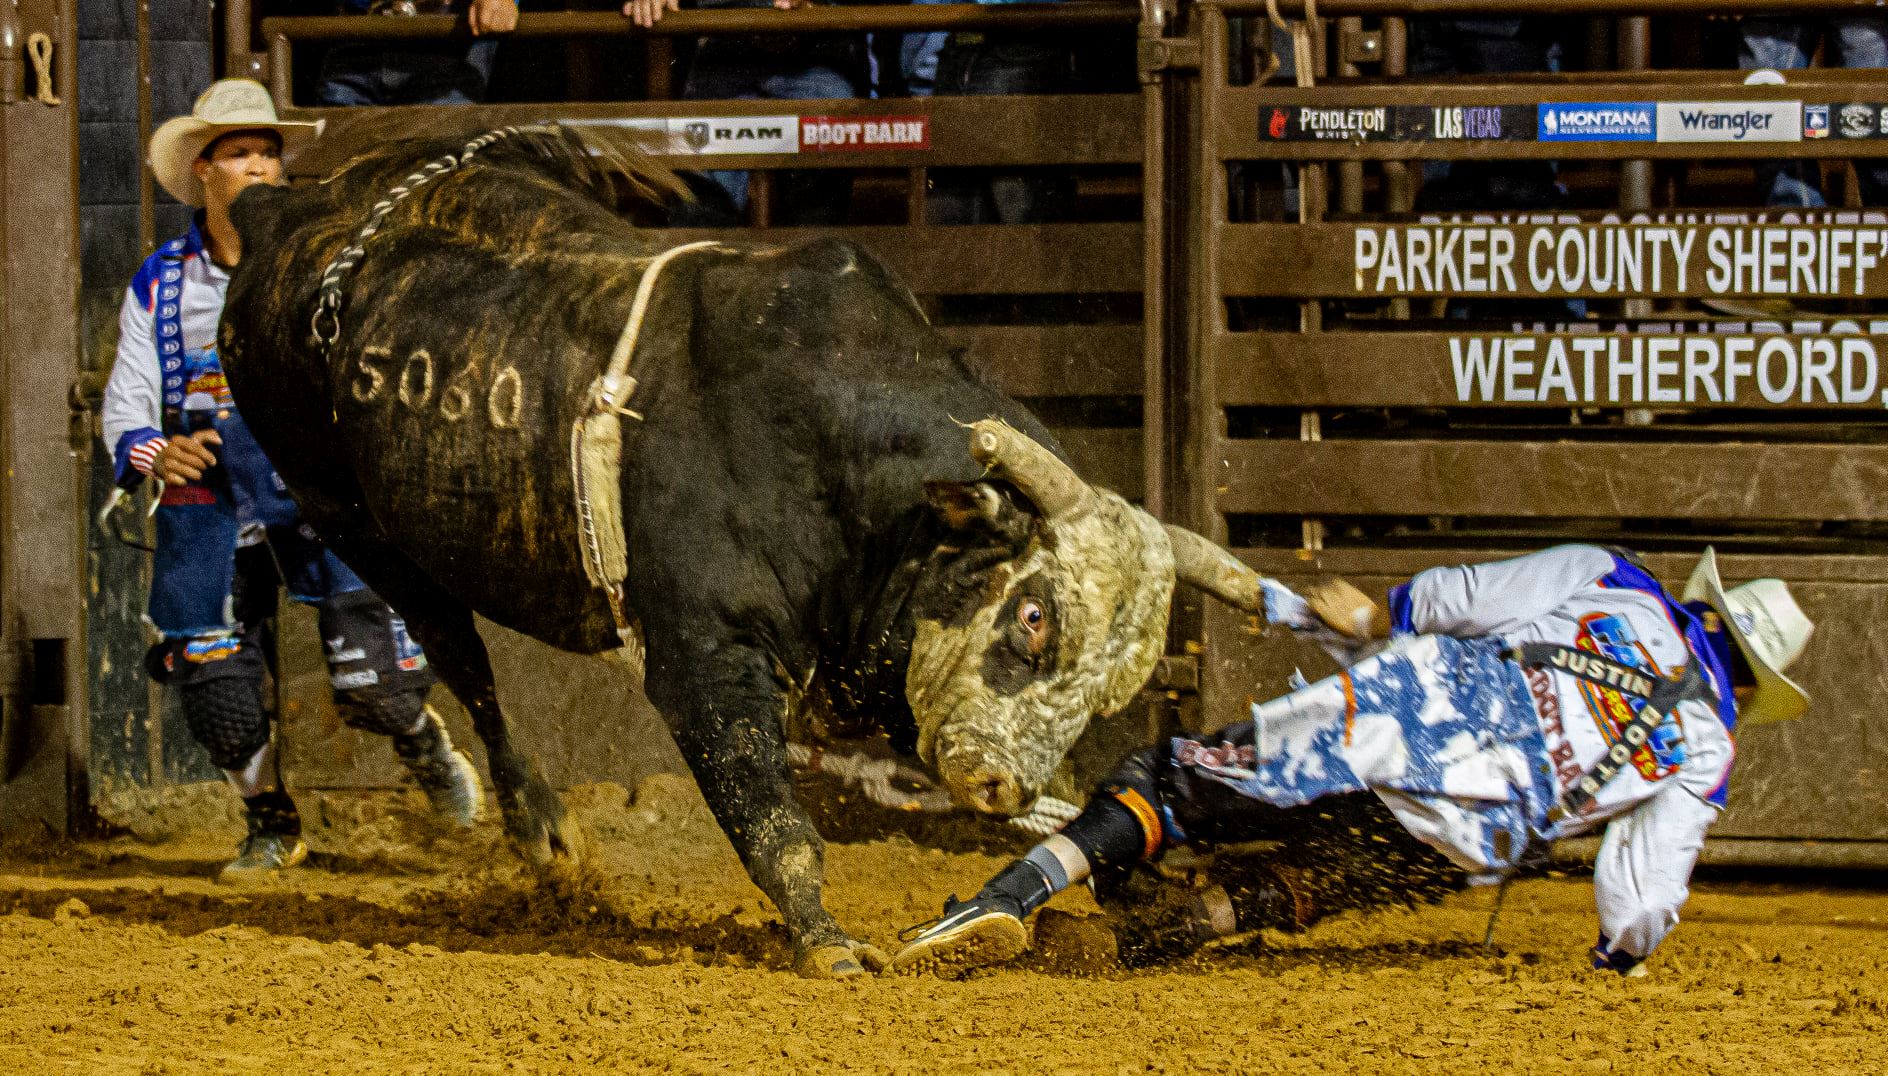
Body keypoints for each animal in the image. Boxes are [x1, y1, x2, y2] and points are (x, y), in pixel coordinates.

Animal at [217, 127, 1268, 974]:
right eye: (1034, 614)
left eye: (1113, 691)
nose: (999, 777)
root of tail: (290, 212)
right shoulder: (704, 658)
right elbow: (768, 810)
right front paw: (829, 944)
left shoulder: (886, 672)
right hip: (354, 521)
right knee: (462, 660)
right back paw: (545, 835)